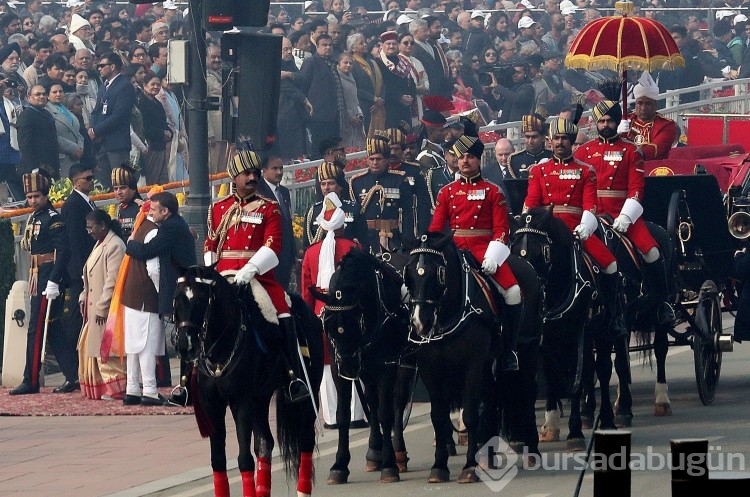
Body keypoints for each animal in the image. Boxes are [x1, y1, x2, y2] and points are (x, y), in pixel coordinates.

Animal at [175, 266, 324, 496]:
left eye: (200, 299)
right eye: (177, 299)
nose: (186, 345)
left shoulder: (241, 401)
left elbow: (244, 459)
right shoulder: (212, 405)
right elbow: (218, 461)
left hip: (309, 392)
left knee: (305, 439)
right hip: (260, 398)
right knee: (265, 443)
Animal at [312, 250, 418, 482]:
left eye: (356, 321)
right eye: (329, 325)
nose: (349, 367)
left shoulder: (386, 365)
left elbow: (386, 413)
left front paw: (389, 465)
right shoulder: (338, 368)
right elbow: (343, 414)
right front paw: (339, 465)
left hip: (405, 360)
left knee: (398, 402)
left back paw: (398, 452)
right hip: (367, 369)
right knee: (371, 400)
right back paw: (374, 452)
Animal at [406, 234, 540, 482]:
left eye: (439, 273)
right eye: (408, 273)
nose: (421, 323)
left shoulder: (473, 366)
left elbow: (469, 415)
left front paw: (469, 467)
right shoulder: (431, 370)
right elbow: (439, 417)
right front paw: (439, 466)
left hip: (528, 353)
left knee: (527, 393)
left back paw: (532, 450)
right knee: (491, 400)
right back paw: (489, 456)